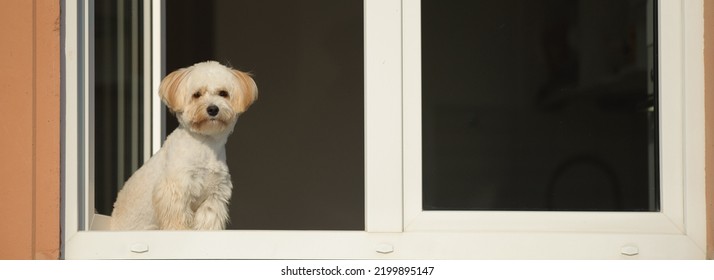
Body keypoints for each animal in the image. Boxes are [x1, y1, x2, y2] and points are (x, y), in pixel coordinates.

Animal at [110, 60, 258, 230]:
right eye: (197, 94)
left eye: (223, 93)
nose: (213, 109)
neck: (205, 145)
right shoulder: (175, 190)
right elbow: (177, 220)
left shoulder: (214, 196)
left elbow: (208, 221)